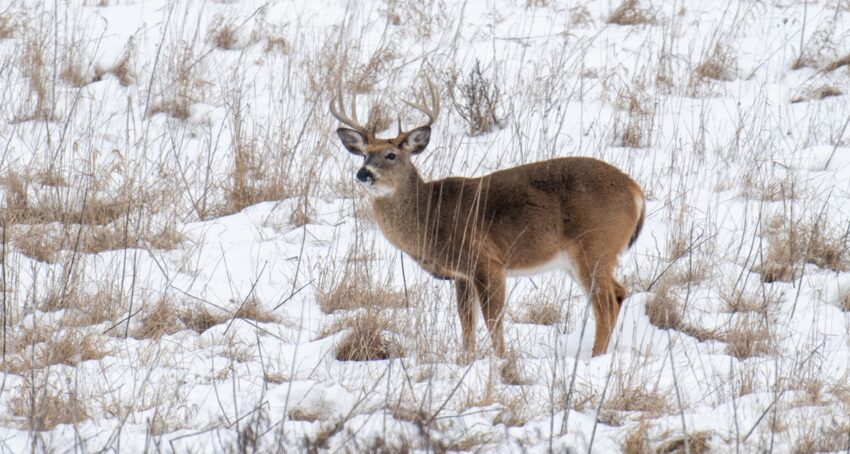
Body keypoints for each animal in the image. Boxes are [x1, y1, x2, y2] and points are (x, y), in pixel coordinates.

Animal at [330, 78, 645, 359]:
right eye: (363, 155)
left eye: (391, 155)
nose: (364, 173)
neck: (430, 216)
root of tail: (635, 190)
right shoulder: (462, 275)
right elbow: (466, 320)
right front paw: (466, 358)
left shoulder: (486, 261)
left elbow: (492, 319)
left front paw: (501, 359)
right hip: (583, 257)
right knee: (618, 293)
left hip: (594, 246)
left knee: (605, 302)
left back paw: (595, 357)